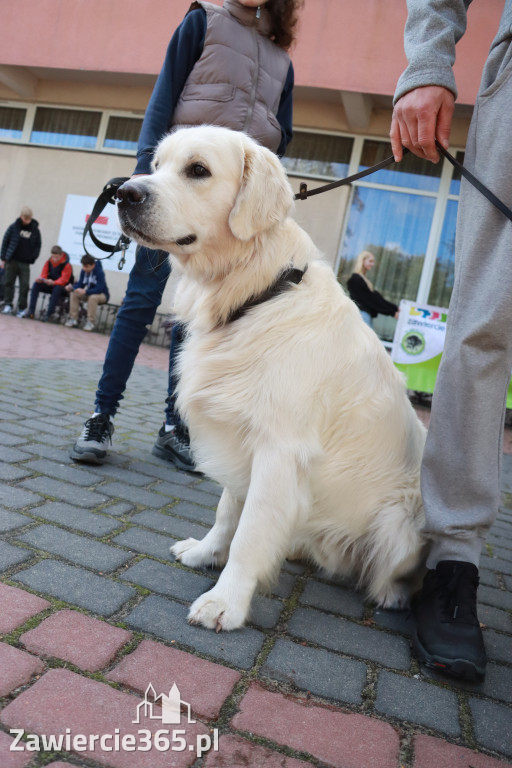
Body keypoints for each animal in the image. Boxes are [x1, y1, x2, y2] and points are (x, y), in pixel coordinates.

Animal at [118, 124, 426, 632]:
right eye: (157, 165)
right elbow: (229, 511)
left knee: (397, 571)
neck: (257, 293)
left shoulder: (280, 448)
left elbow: (252, 529)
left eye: (198, 170)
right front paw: (206, 552)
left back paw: (393, 595)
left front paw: (225, 601)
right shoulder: (242, 433)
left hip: (399, 522)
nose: (123, 193)